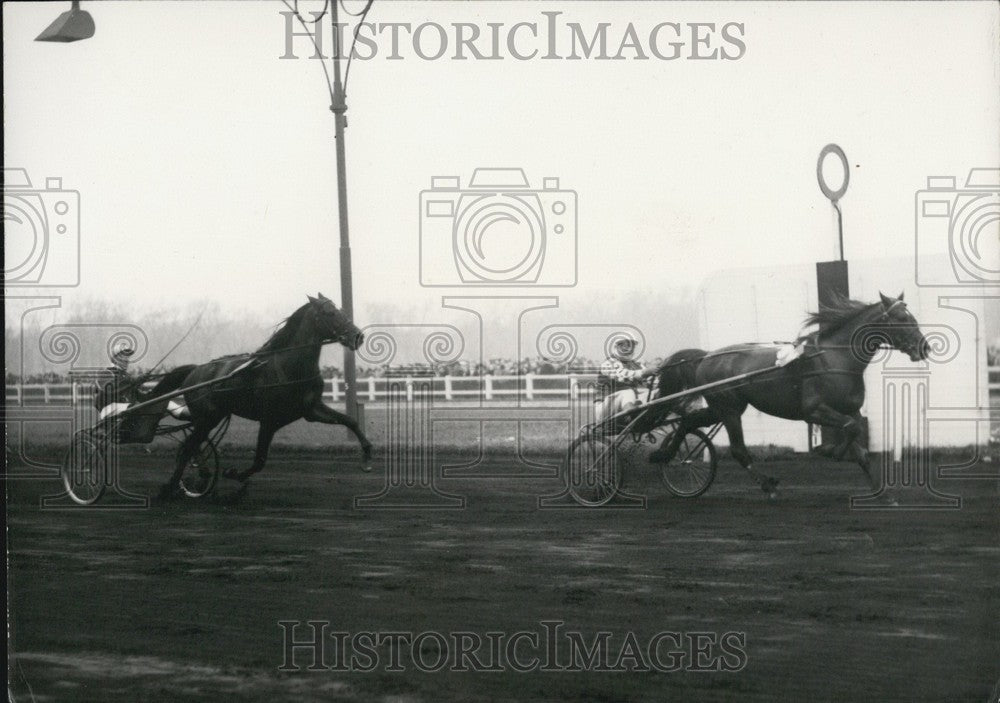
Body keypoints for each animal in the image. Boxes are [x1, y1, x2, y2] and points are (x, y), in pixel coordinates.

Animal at [648, 292, 928, 496]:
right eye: (900, 318)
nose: (924, 347)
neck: (834, 358)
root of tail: (706, 356)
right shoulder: (813, 411)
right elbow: (849, 428)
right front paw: (828, 450)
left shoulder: (852, 410)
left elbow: (859, 443)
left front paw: (883, 494)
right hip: (728, 409)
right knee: (738, 449)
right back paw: (767, 483)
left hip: (722, 408)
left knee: (688, 421)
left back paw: (667, 456)